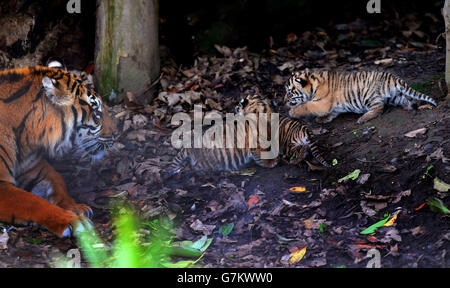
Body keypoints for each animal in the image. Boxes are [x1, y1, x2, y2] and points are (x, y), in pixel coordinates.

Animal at [0, 62, 116, 236]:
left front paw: (75, 207)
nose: (117, 132)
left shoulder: (32, 166)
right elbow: (34, 202)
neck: (27, 137)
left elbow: (57, 180)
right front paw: (73, 221)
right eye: (96, 113)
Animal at [284, 70, 436, 124]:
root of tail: (391, 76)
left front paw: (292, 112)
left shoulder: (321, 103)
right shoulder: (331, 107)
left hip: (368, 95)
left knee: (379, 108)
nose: (284, 101)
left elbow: (306, 105)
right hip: (394, 97)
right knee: (405, 100)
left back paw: (363, 118)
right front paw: (323, 119)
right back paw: (410, 106)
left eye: (289, 93)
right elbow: (332, 113)